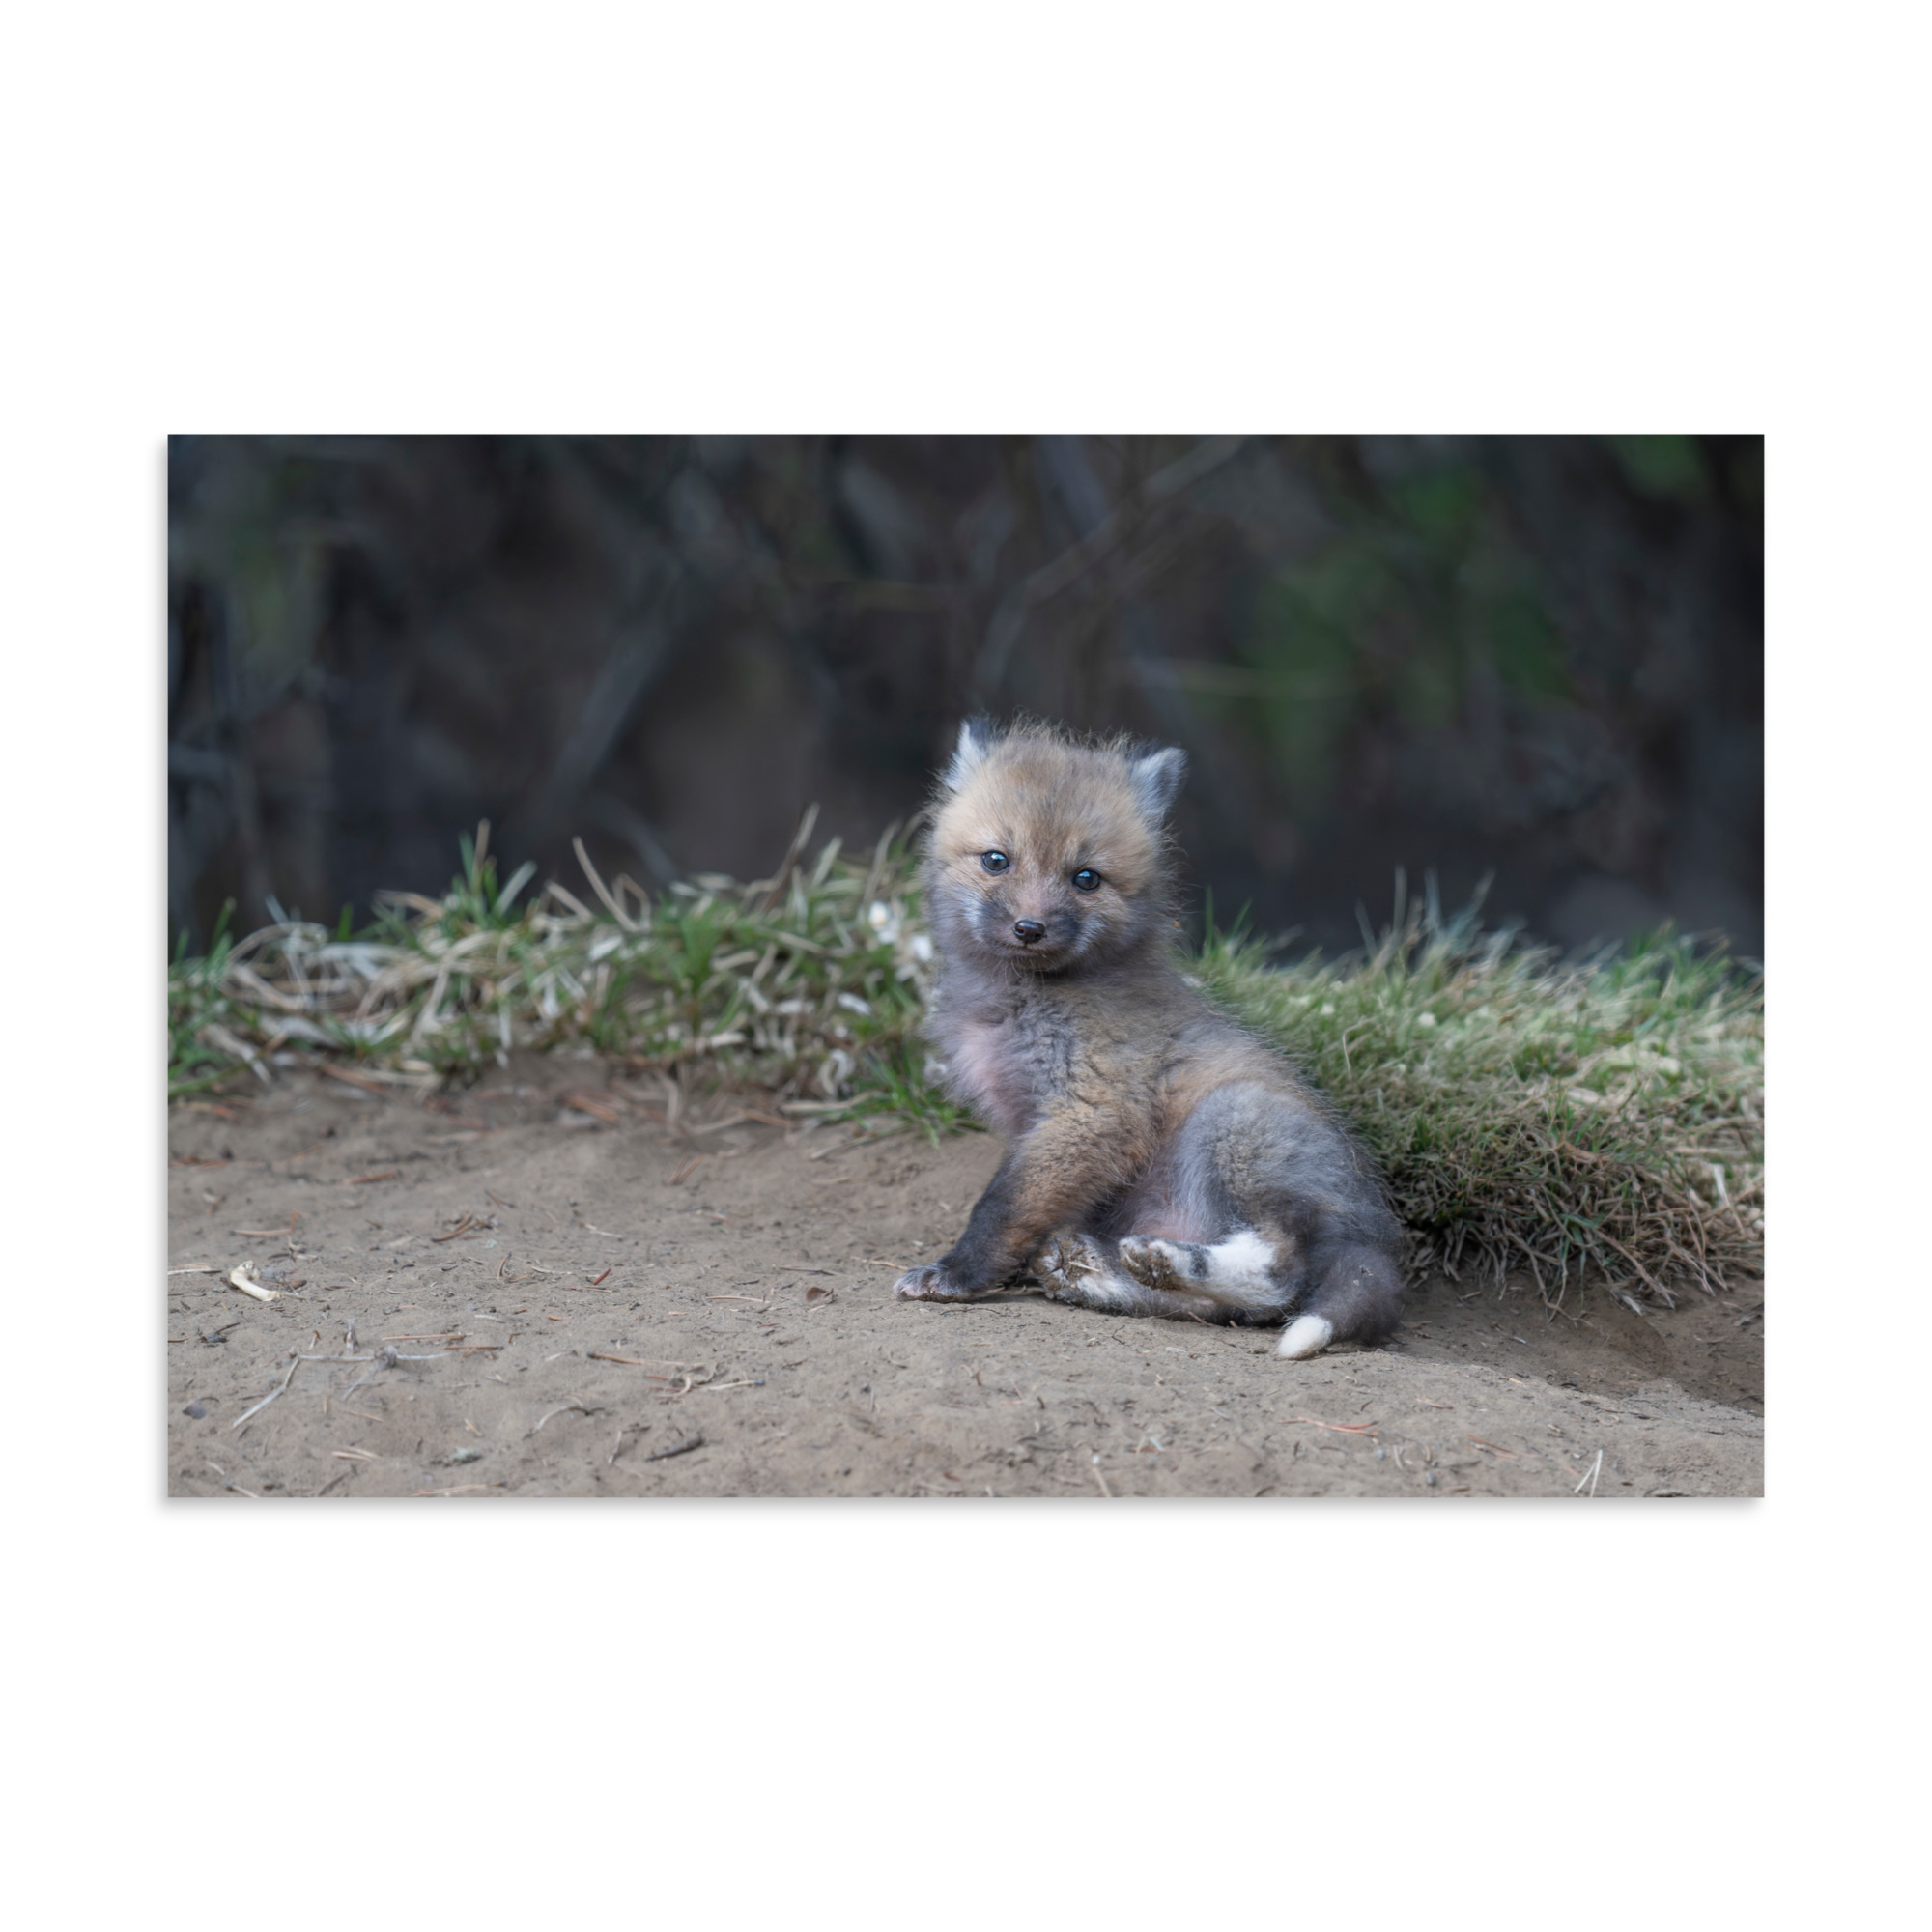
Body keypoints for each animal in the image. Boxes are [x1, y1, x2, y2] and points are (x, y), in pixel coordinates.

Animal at [892, 719, 1405, 1359]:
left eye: (1086, 878)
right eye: (996, 860)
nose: (1029, 928)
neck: (1022, 1001)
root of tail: (1375, 1234)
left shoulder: (1092, 1110)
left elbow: (1001, 1206)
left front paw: (957, 1274)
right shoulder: (1036, 1124)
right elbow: (1025, 1206)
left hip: (1233, 1122)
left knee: (1280, 1276)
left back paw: (1165, 1261)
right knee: (1222, 1309)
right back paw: (1101, 1274)